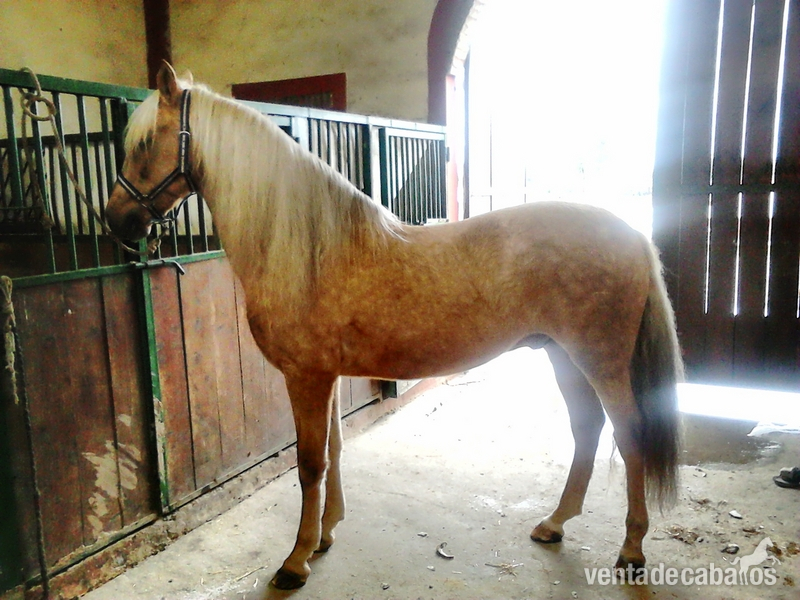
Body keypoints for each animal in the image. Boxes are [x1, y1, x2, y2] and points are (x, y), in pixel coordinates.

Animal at [105, 62, 683, 590]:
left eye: (145, 144)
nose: (116, 222)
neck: (309, 249)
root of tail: (633, 235)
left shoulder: (306, 377)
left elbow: (310, 464)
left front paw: (296, 560)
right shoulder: (326, 376)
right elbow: (335, 451)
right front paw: (326, 536)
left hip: (600, 360)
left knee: (629, 434)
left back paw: (631, 549)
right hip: (562, 355)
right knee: (588, 429)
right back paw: (554, 524)